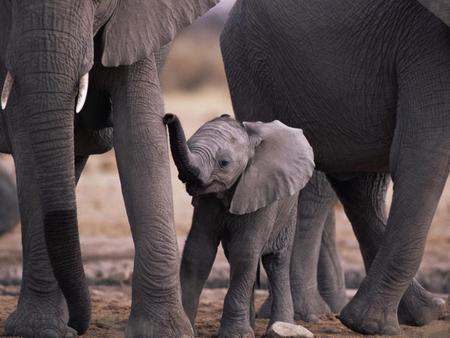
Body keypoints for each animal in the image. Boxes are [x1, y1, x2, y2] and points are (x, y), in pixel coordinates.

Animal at [163, 114, 314, 338]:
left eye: (224, 163)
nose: (168, 117)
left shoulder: (261, 190)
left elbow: (245, 251)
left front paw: (235, 334)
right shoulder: (207, 200)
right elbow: (198, 251)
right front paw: (187, 329)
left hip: (289, 208)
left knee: (275, 261)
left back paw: (282, 326)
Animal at [221, 0, 450, 334]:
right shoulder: (428, 42)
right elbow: (424, 153)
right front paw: (369, 327)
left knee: (360, 185)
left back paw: (424, 312)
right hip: (252, 67)